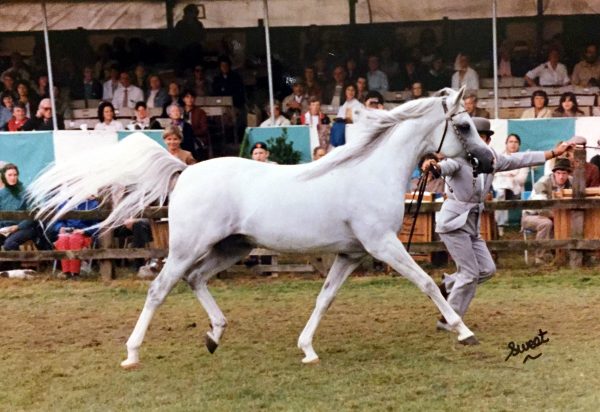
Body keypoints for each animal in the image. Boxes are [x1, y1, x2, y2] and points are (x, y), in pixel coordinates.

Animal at [28, 86, 494, 366]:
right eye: (463, 124)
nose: (488, 161)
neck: (369, 171)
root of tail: (185, 171)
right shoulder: (383, 246)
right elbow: (429, 283)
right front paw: (465, 331)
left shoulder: (351, 254)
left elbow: (324, 299)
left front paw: (307, 350)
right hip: (186, 249)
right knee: (160, 288)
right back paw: (132, 353)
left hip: (233, 247)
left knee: (196, 280)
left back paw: (214, 336)